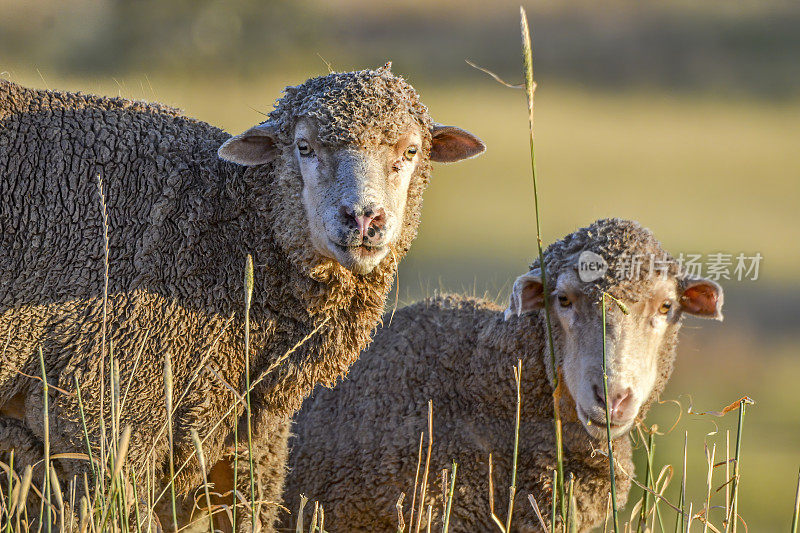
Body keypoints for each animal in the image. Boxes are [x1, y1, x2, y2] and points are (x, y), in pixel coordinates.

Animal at [0, 63, 484, 532]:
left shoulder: (249, 443)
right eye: (304, 147)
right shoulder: (103, 410)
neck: (227, 232)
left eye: (411, 151)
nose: (364, 219)